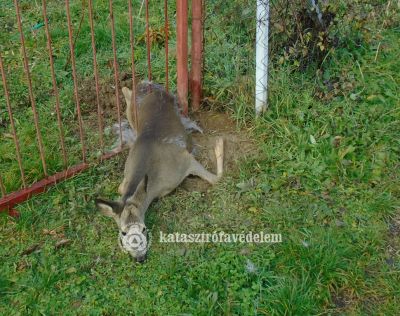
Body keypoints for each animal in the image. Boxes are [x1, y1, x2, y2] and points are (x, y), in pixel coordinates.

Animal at [95, 82, 223, 262]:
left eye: (143, 228)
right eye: (123, 232)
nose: (139, 258)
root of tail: (146, 83)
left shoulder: (184, 160)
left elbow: (217, 178)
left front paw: (218, 144)